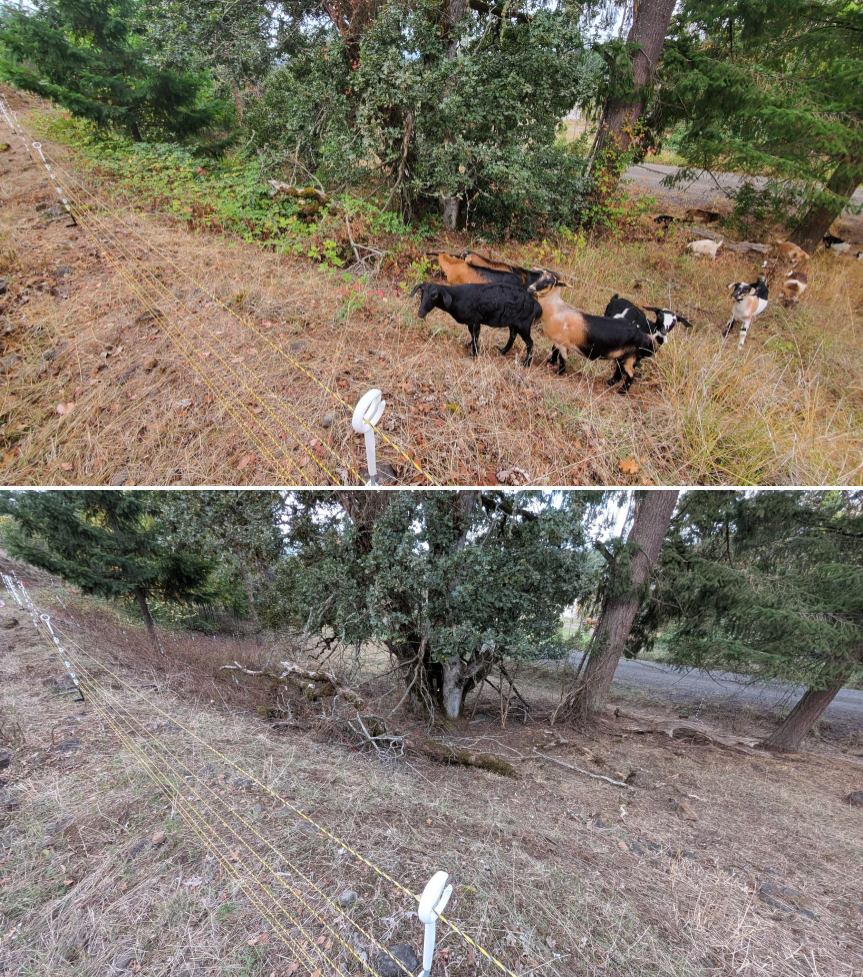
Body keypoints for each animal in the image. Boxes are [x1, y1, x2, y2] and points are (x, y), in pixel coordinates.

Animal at [410, 282, 541, 365]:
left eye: (435, 295)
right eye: (422, 293)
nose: (420, 313)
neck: (456, 298)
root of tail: (535, 304)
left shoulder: (475, 320)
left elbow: (475, 336)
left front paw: (475, 354)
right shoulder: (470, 322)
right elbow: (472, 335)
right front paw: (469, 346)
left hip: (524, 324)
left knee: (530, 342)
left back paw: (526, 363)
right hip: (514, 323)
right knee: (513, 336)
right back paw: (503, 351)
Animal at [527, 272, 677, 394]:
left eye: (549, 282)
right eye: (539, 276)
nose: (530, 289)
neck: (556, 309)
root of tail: (645, 337)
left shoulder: (564, 342)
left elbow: (562, 358)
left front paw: (559, 371)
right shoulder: (558, 341)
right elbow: (554, 351)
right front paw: (550, 362)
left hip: (629, 357)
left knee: (630, 374)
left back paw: (622, 391)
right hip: (625, 357)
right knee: (622, 371)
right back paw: (611, 383)